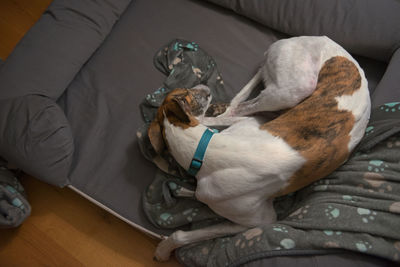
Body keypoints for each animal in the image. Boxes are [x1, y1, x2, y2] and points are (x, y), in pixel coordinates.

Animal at [148, 35, 372, 262]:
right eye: (185, 91)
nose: (205, 88)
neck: (205, 148)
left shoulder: (261, 220)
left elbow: (184, 232)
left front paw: (164, 248)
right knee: (238, 107)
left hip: (295, 89)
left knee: (238, 107)